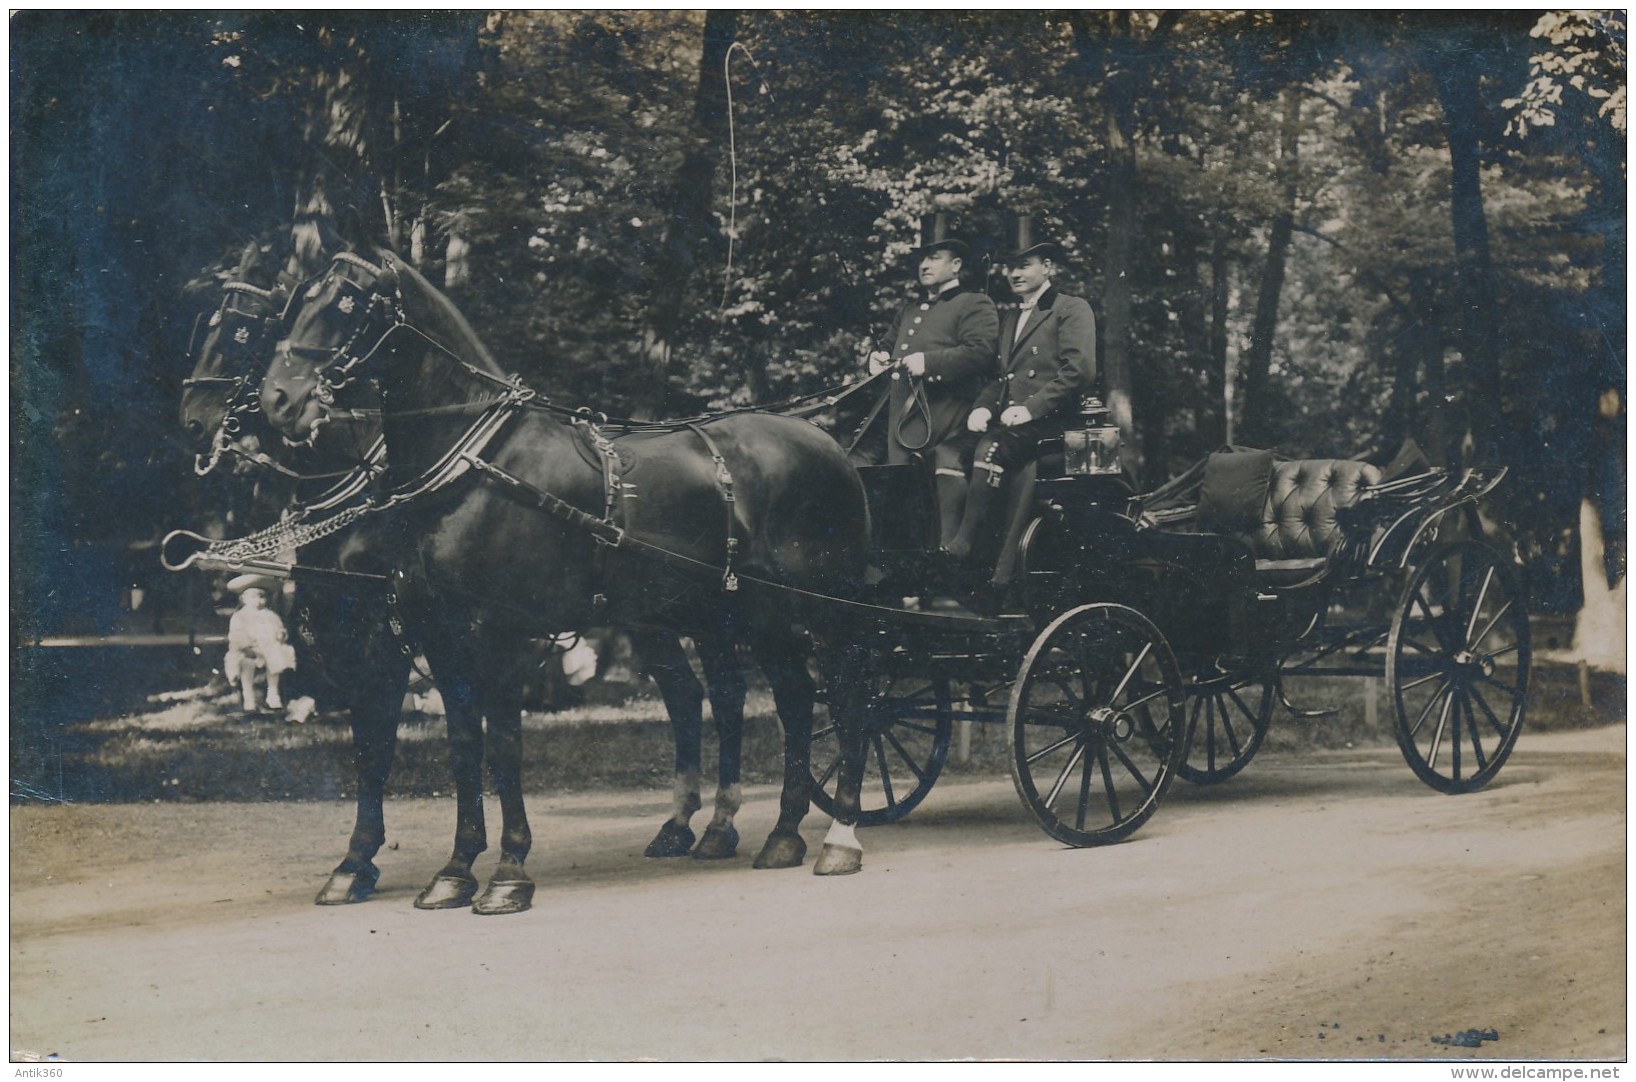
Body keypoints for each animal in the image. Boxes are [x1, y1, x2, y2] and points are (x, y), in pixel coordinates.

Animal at [251, 248, 883, 910]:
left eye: (349, 304)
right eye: (299, 302)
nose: (279, 400)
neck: (473, 465)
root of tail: (828, 445)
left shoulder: (495, 634)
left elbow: (501, 746)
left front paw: (507, 871)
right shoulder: (441, 637)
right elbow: (461, 746)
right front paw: (454, 869)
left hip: (824, 608)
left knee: (850, 697)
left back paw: (841, 835)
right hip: (749, 616)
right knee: (789, 700)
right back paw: (781, 834)